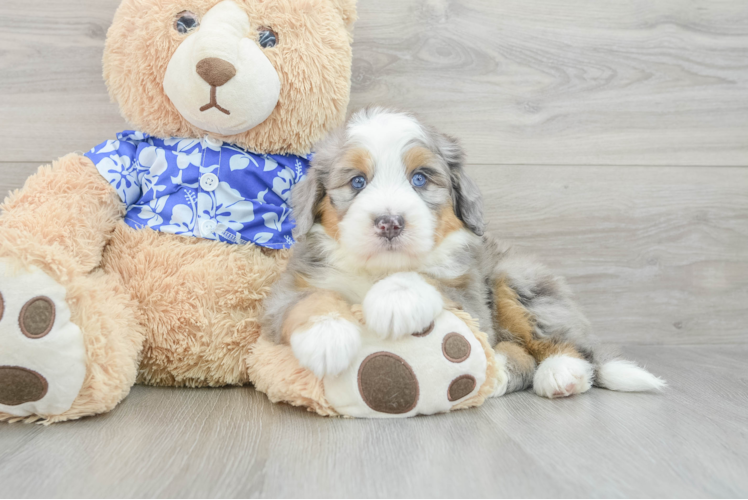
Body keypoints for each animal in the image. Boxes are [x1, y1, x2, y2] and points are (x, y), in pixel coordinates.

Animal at [260, 108, 664, 398]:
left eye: (420, 178)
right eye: (357, 182)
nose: (390, 223)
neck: (379, 270)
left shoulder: (470, 299)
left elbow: (429, 280)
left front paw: (395, 300)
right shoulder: (288, 291)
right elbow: (310, 300)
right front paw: (326, 339)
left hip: (515, 278)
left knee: (564, 344)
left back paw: (562, 373)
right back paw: (499, 371)